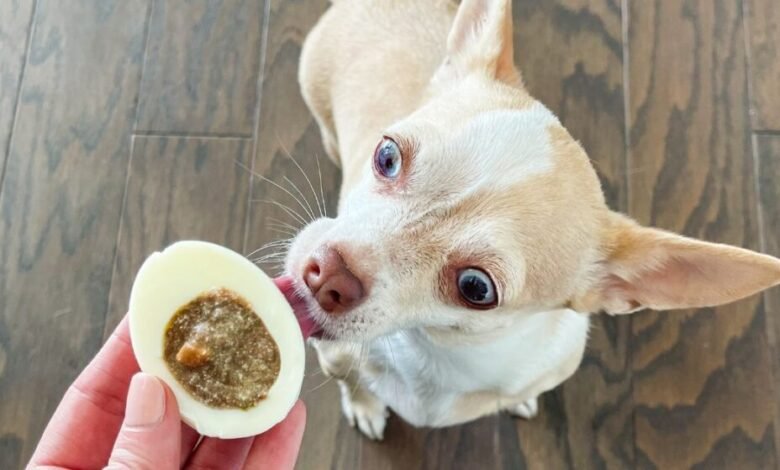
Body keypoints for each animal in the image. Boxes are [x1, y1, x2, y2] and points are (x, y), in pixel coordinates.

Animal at [278, 0, 780, 440]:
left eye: (476, 288)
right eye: (386, 157)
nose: (327, 273)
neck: (440, 353)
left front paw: (518, 400)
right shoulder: (334, 353)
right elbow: (350, 378)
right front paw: (364, 406)